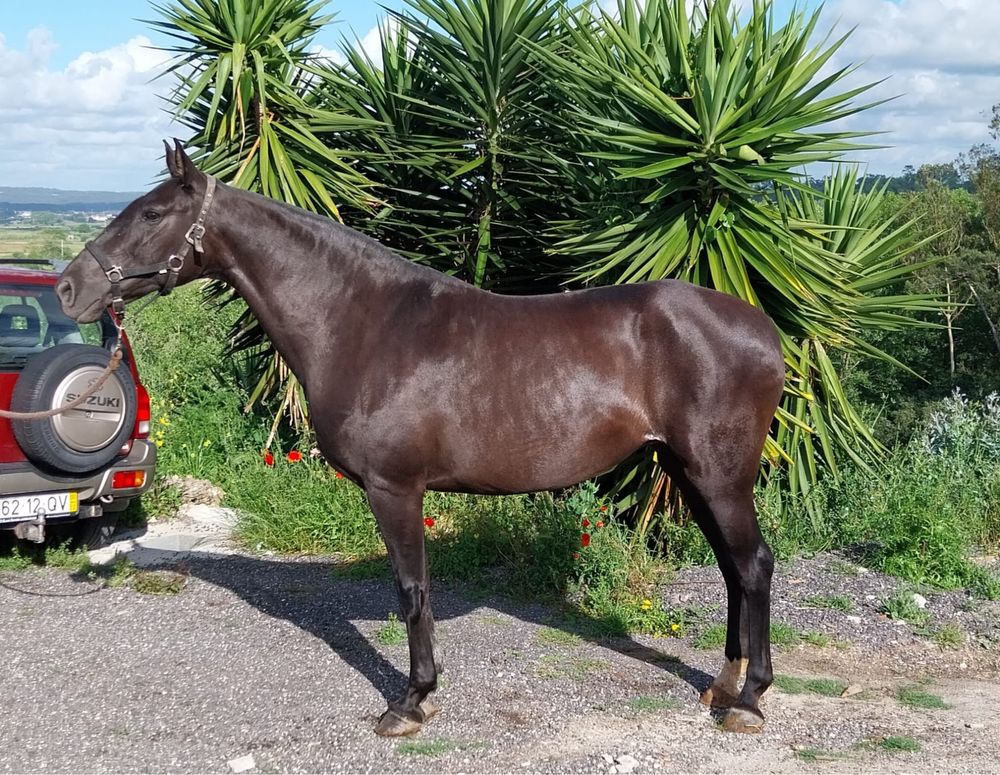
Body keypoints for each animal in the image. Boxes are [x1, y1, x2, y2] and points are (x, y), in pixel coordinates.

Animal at [56, 141, 788, 740]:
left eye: (151, 214)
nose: (69, 286)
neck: (362, 323)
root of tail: (764, 330)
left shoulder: (394, 488)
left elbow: (412, 589)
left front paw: (411, 701)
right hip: (688, 471)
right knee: (732, 569)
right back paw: (723, 685)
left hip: (718, 475)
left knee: (753, 565)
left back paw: (749, 700)